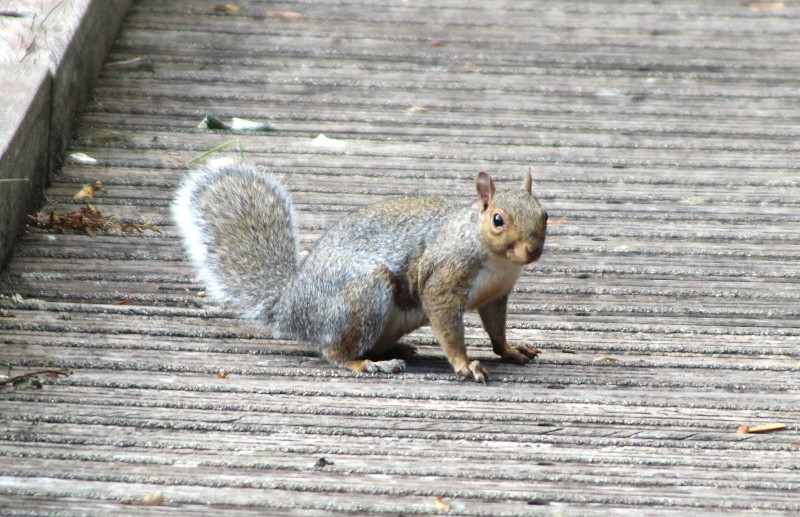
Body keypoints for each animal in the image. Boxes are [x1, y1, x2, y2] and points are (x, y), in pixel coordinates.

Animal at [172, 163, 547, 382]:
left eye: (545, 213)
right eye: (498, 220)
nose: (533, 250)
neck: (497, 260)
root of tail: (289, 307)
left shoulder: (496, 295)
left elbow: (496, 329)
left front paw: (510, 350)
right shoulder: (445, 278)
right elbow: (446, 323)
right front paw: (464, 365)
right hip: (364, 295)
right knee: (334, 353)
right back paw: (365, 364)